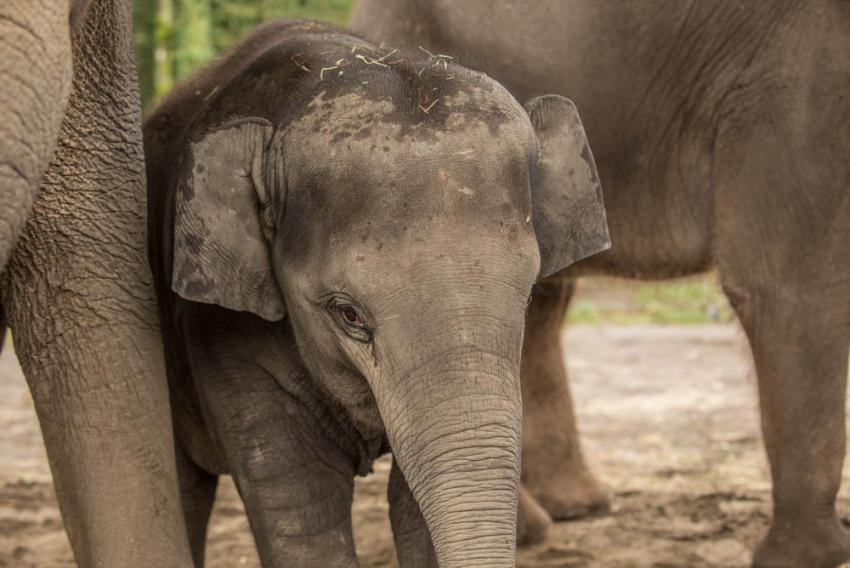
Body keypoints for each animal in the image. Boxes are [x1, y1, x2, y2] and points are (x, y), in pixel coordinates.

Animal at [352, 1, 848, 568]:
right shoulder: (793, 70)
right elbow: (786, 287)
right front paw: (803, 559)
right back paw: (537, 529)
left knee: (536, 304)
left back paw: (575, 509)